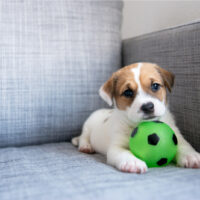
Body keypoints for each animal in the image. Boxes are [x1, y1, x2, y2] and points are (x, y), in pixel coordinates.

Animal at [72, 62, 200, 173]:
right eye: (128, 92)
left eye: (155, 86)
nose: (148, 107)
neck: (136, 124)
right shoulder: (116, 147)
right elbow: (125, 153)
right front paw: (133, 162)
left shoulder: (176, 134)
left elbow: (184, 145)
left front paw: (191, 156)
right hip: (88, 125)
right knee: (84, 137)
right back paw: (86, 146)